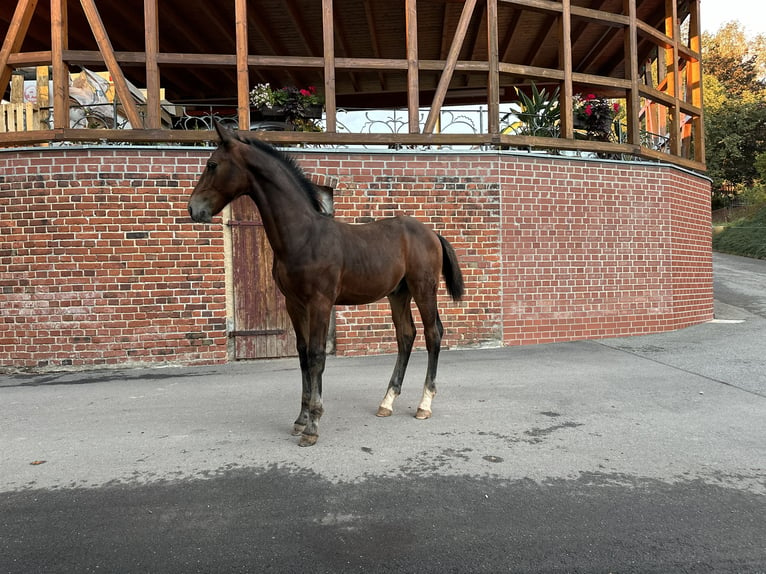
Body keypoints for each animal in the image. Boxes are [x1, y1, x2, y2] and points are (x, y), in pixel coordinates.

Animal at [189, 124, 464, 448]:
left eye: (212, 165)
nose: (193, 209)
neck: (304, 236)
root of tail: (432, 233)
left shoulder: (320, 302)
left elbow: (317, 355)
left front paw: (313, 425)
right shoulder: (294, 303)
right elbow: (303, 354)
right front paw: (300, 419)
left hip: (424, 289)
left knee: (434, 334)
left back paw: (424, 404)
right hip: (399, 294)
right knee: (406, 336)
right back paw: (387, 402)